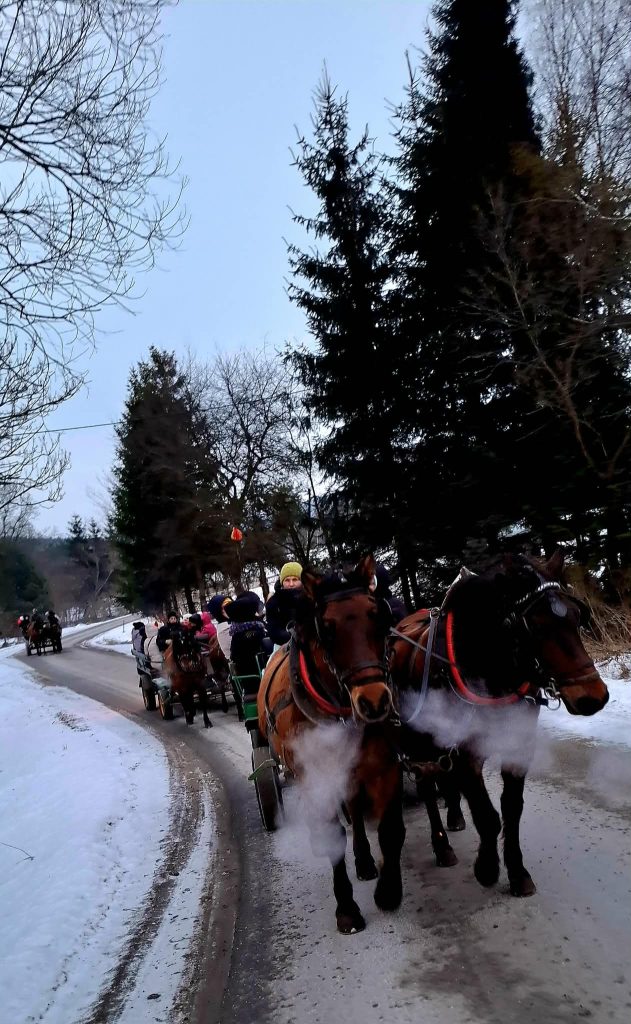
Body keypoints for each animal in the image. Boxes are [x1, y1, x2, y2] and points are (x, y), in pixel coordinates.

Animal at [257, 554, 403, 934]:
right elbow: (333, 836)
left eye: (378, 615)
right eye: (327, 627)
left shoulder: (383, 764)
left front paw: (388, 890)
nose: (374, 701)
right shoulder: (314, 773)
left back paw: (364, 861)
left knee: (352, 805)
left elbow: (390, 829)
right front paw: (347, 909)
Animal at [388, 550, 609, 897]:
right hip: (414, 741)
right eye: (535, 626)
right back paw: (442, 846)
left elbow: (512, 810)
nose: (592, 697)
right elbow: (488, 815)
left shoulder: (518, 742)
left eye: (576, 615)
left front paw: (517, 872)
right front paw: (488, 868)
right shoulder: (466, 752)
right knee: (426, 786)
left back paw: (454, 815)